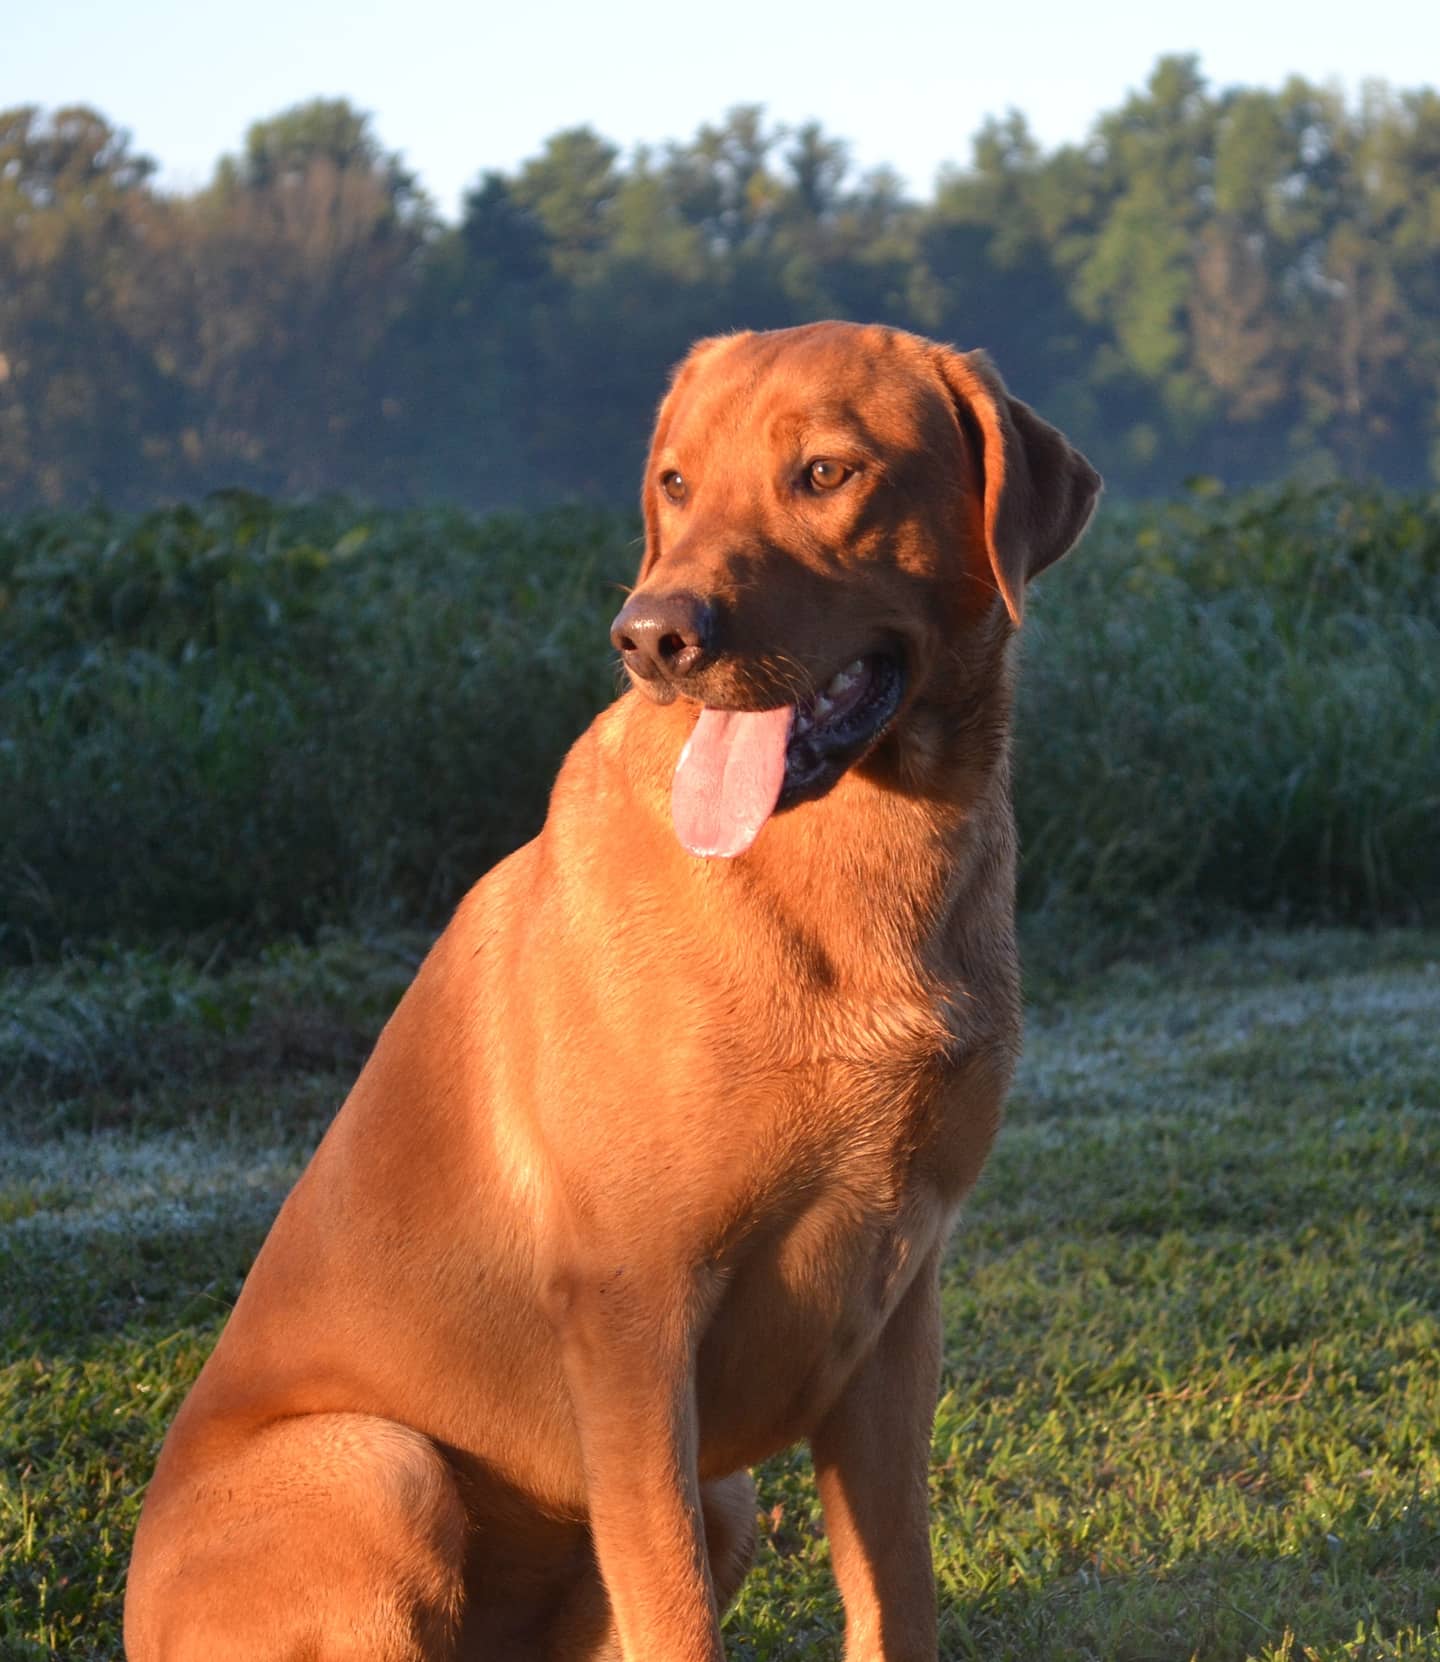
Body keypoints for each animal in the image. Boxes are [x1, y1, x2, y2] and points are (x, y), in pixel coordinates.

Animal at [128, 317, 1097, 1655]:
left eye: (828, 473)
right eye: (675, 483)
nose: (651, 636)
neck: (855, 861)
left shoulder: (897, 1310)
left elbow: (897, 1592)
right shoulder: (632, 1314)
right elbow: (676, 1613)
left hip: (722, 1493)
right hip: (384, 1467)